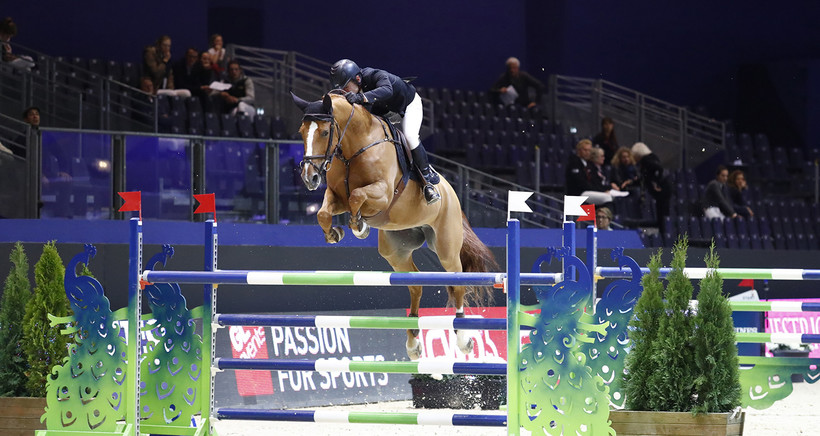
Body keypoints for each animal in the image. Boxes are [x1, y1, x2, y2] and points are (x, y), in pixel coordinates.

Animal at [292, 91, 496, 358]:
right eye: (301, 131)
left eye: (325, 132)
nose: (310, 178)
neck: (353, 149)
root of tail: (451, 191)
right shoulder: (336, 197)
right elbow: (323, 213)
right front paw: (335, 233)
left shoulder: (382, 194)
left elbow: (357, 196)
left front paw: (359, 227)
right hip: (395, 251)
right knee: (415, 285)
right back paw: (413, 343)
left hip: (446, 247)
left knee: (457, 282)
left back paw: (463, 338)